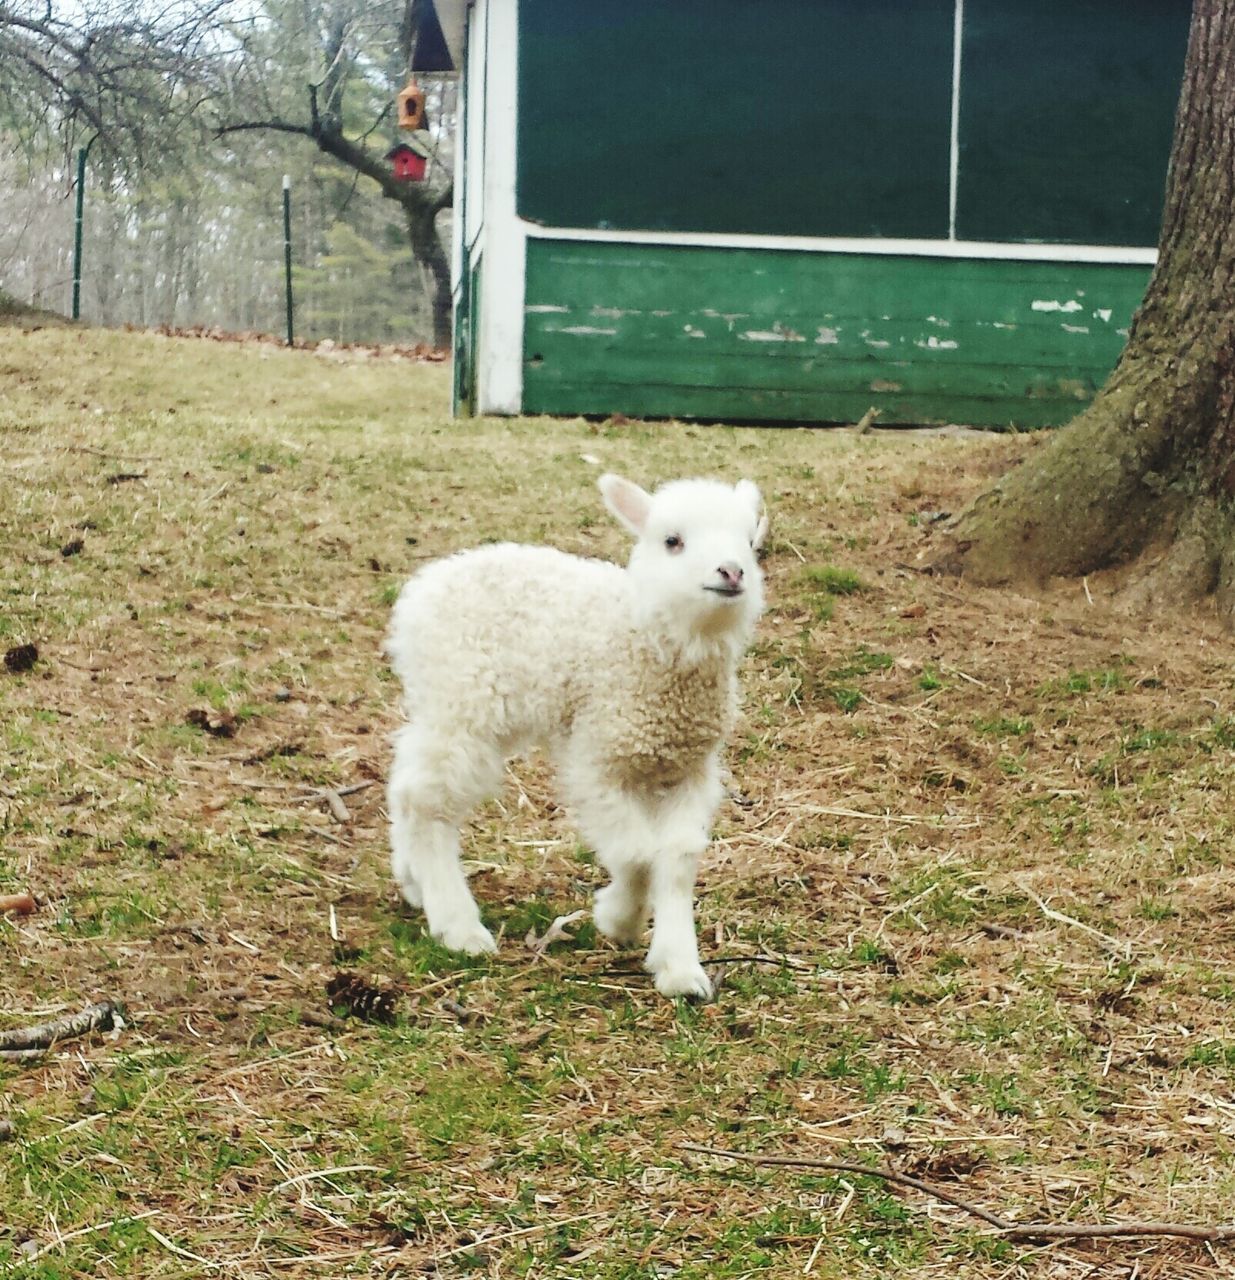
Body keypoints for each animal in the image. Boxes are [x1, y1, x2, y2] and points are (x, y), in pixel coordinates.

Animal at [386, 473, 767, 998]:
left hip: (441, 707)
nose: (731, 572)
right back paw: (457, 925)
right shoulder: (598, 759)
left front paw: (680, 969)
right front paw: (619, 919)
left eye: (750, 543)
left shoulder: (690, 769)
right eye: (672, 541)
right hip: (466, 703)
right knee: (428, 802)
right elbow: (636, 853)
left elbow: (677, 860)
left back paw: (412, 881)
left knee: (406, 782)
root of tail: (422, 589)